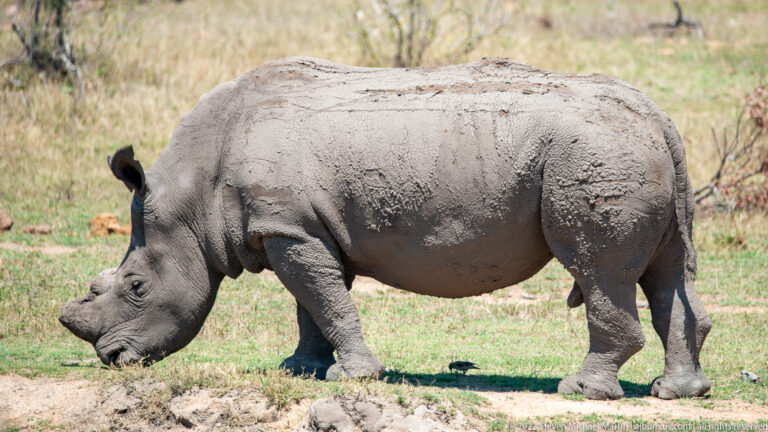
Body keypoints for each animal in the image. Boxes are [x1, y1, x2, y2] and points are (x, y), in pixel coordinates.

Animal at [59, 57, 712, 400]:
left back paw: (580, 391)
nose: (113, 359)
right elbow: (314, 303)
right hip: (631, 152)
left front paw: (352, 376)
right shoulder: (301, 228)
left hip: (595, 155)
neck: (191, 195)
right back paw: (678, 392)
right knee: (665, 275)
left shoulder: (288, 229)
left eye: (136, 288)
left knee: (599, 271)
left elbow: (324, 300)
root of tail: (657, 116)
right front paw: (301, 370)